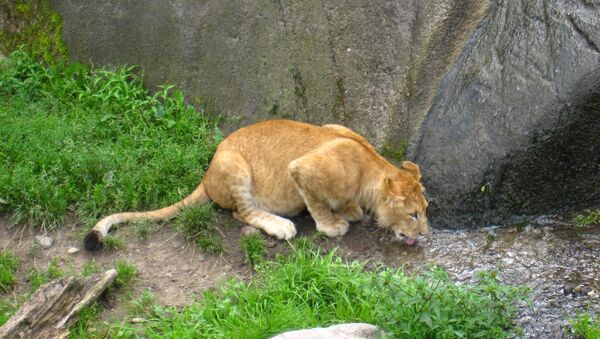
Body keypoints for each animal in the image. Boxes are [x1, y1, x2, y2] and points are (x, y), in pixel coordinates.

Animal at [83, 121, 426, 251]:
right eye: (414, 215)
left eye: (425, 210)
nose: (424, 235)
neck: (370, 166)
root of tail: (206, 176)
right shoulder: (302, 168)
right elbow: (316, 203)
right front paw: (332, 225)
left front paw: (350, 209)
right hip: (234, 165)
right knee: (242, 213)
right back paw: (280, 225)